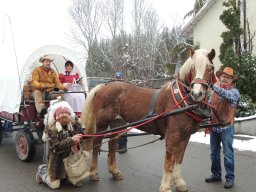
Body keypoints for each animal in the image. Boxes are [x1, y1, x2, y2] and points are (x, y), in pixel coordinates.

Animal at [81, 48, 215, 192]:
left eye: (210, 68)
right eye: (192, 68)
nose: (197, 94)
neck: (182, 100)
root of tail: (103, 86)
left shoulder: (185, 136)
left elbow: (179, 159)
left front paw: (179, 183)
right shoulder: (173, 136)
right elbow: (169, 162)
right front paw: (166, 187)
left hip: (118, 123)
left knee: (112, 143)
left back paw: (115, 171)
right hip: (102, 123)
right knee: (97, 144)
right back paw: (94, 173)